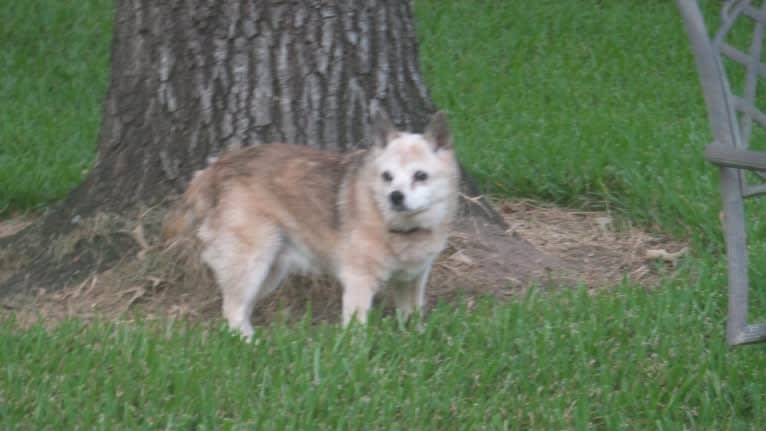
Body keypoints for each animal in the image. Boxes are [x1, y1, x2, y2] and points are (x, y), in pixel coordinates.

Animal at [164, 108, 460, 338]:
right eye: (387, 176)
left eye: (420, 175)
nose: (395, 197)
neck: (400, 228)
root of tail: (215, 167)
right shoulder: (358, 281)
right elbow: (356, 328)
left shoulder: (413, 279)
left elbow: (412, 316)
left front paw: (415, 339)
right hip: (250, 260)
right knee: (232, 310)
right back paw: (251, 345)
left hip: (270, 269)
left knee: (239, 308)